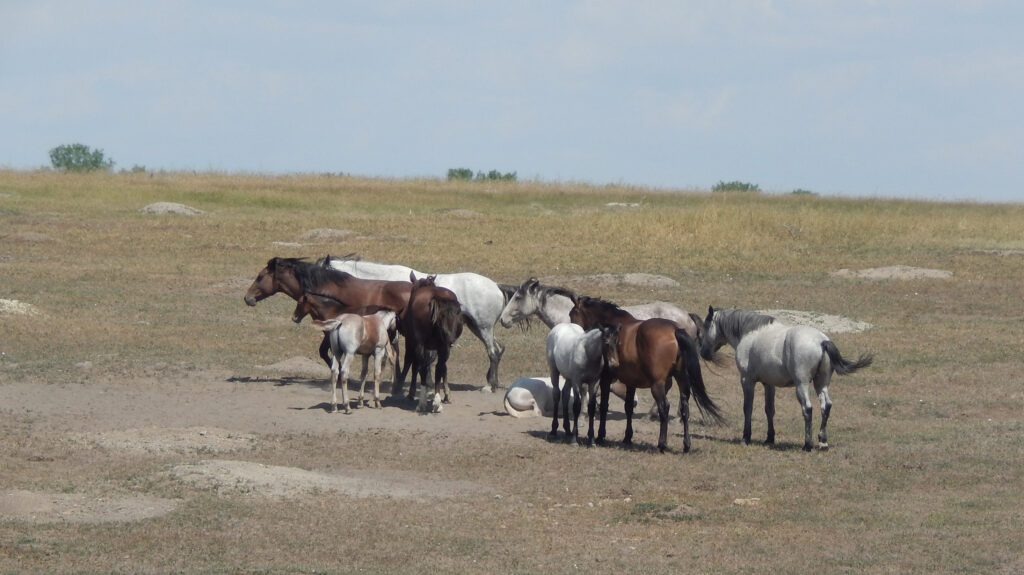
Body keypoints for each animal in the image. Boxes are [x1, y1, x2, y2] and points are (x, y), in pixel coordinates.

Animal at [319, 253, 512, 390]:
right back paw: (492, 381)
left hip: (483, 328)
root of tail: (496, 285)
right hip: (477, 327)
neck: (384, 285)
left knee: (493, 352)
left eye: (319, 275)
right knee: (499, 349)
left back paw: (490, 385)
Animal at [399, 272, 464, 411]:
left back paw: (422, 402)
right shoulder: (443, 345)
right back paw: (437, 401)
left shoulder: (412, 342)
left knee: (422, 367)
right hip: (445, 345)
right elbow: (443, 368)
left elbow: (414, 364)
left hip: (419, 344)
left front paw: (411, 393)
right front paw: (446, 395)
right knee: (440, 367)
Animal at [569, 294, 729, 452]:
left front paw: (601, 436)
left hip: (657, 385)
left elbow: (604, 406)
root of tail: (675, 330)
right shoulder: (630, 381)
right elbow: (628, 407)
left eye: (572, 314)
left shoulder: (606, 379)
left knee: (664, 407)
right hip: (682, 379)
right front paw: (627, 437)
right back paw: (686, 444)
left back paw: (662, 443)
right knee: (685, 408)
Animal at [700, 306, 876, 450]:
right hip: (821, 384)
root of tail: (821, 341)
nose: (703, 353)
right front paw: (769, 438)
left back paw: (807, 445)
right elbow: (769, 409)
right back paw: (823, 442)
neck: (750, 333)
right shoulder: (768, 384)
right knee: (826, 406)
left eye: (706, 326)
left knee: (808, 408)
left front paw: (746, 438)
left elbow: (747, 408)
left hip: (802, 385)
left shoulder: (747, 381)